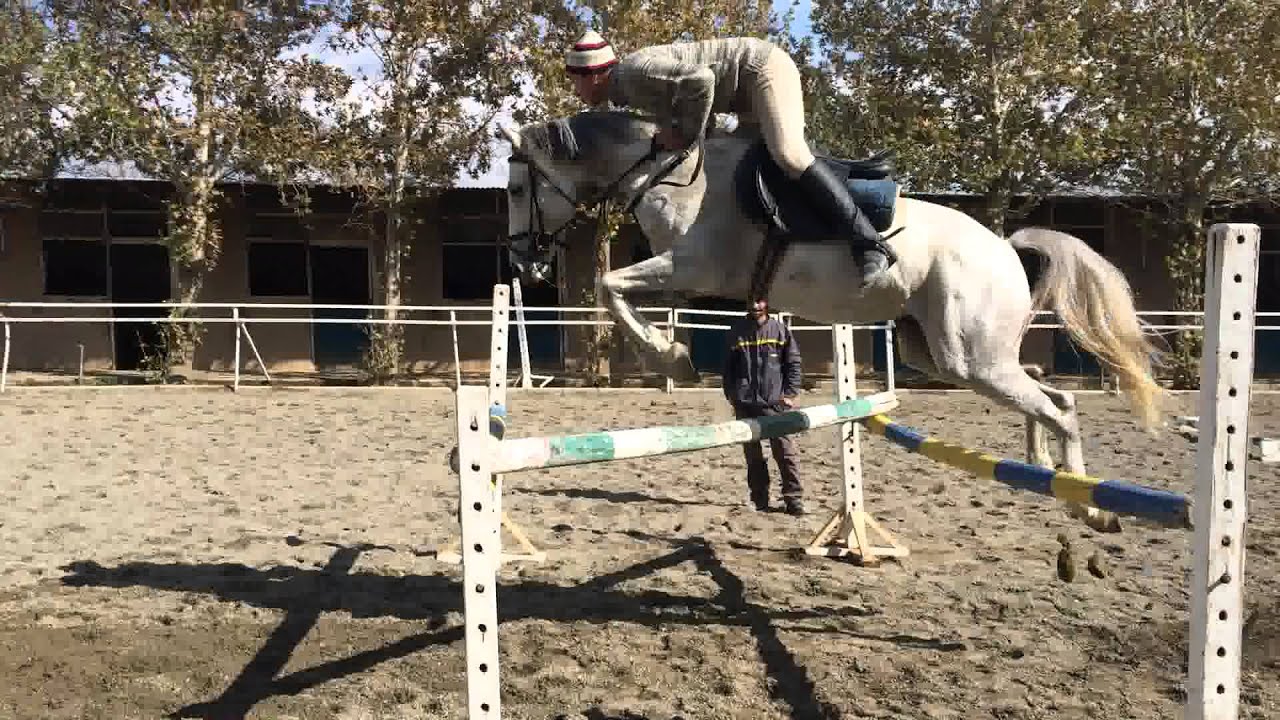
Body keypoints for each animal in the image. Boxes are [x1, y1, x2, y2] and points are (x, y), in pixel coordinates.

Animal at [496, 109, 1163, 534]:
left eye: (515, 189)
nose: (522, 261)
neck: (669, 176)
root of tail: (1006, 246)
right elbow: (618, 292)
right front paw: (670, 353)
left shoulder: (691, 267)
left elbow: (610, 288)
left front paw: (670, 357)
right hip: (943, 353)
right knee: (1044, 390)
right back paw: (1044, 469)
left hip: (968, 356)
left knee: (1060, 405)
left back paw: (1091, 508)